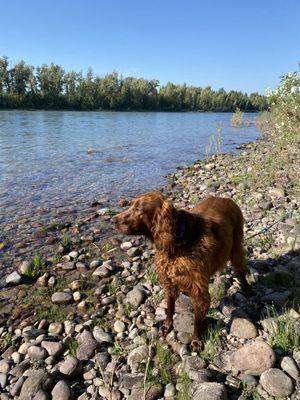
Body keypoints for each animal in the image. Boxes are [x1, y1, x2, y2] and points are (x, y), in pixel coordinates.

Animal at [115, 191, 251, 350]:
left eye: (139, 209)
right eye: (131, 205)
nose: (114, 220)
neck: (177, 243)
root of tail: (226, 199)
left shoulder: (198, 290)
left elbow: (197, 320)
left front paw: (196, 340)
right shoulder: (169, 282)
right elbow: (170, 308)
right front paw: (167, 326)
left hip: (236, 246)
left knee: (241, 270)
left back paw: (247, 289)